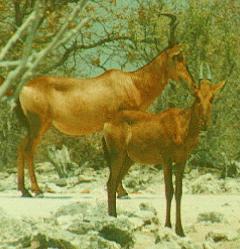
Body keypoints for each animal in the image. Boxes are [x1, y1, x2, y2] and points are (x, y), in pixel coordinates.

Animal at [103, 77, 225, 235]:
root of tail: (108, 122)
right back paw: (113, 221)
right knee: (111, 184)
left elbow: (179, 191)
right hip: (117, 155)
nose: (204, 123)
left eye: (212, 98)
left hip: (128, 160)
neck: (181, 124)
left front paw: (180, 230)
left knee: (115, 184)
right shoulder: (166, 160)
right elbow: (169, 190)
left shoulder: (181, 161)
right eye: (197, 96)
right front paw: (168, 225)